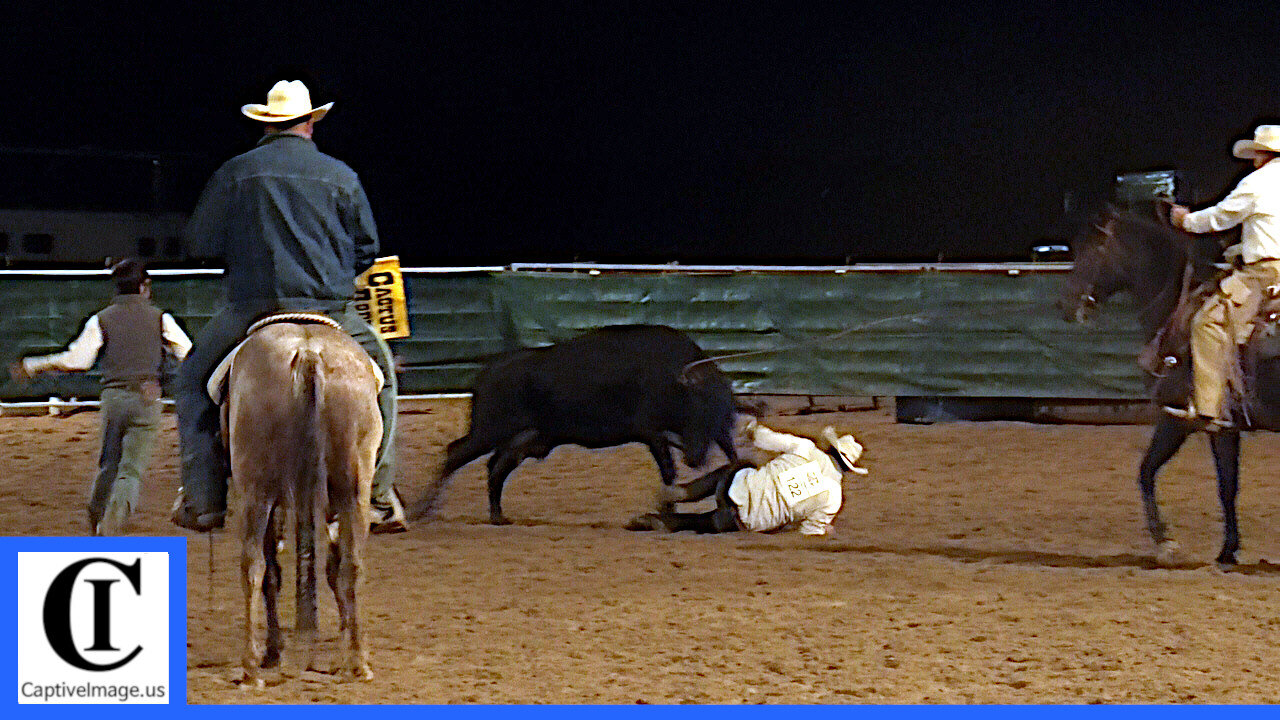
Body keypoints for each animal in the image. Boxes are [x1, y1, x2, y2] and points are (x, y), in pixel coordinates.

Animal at [222, 315, 381, 681]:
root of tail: (309, 351)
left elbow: (272, 572)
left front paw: (273, 652)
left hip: (255, 487)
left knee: (253, 564)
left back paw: (250, 666)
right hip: (353, 485)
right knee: (352, 564)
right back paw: (358, 660)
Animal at [417, 324, 737, 520]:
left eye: (720, 416)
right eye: (697, 408)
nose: (695, 458)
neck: (671, 376)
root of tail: (490, 369)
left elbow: (731, 457)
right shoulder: (651, 433)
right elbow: (668, 471)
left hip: (523, 439)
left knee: (496, 467)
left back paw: (497, 515)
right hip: (489, 430)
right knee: (456, 454)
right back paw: (423, 510)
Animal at [1054, 204, 1264, 563]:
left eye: (1092, 249)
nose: (1066, 305)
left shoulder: (1183, 419)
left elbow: (1160, 473)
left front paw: (1175, 543)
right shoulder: (1222, 426)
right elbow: (1221, 483)